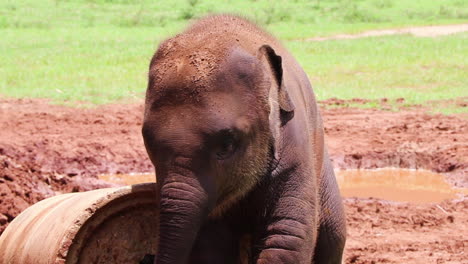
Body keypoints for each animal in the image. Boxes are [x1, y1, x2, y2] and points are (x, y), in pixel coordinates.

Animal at [141, 14, 346, 264]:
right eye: (149, 146)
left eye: (227, 145)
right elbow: (211, 244)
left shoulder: (294, 144)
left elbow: (287, 235)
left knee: (333, 235)